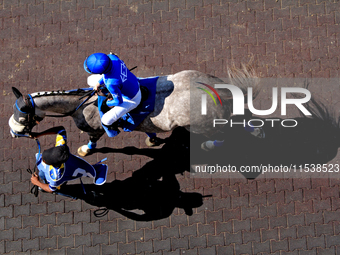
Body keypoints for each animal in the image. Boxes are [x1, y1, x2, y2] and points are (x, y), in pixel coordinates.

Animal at [7, 66, 258, 156]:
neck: (82, 104)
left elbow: (93, 140)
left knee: (224, 134)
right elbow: (146, 129)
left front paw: (86, 150)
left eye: (23, 116)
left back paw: (212, 145)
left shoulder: (96, 128)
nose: (12, 132)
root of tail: (216, 89)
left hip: (200, 126)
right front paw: (153, 139)